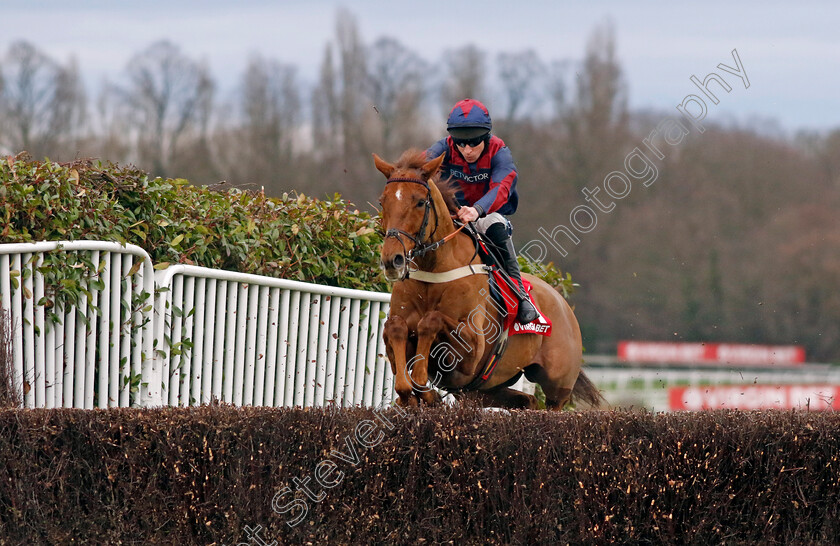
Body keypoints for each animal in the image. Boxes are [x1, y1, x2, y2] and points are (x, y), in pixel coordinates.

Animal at [374, 149, 604, 408]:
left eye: (420, 202)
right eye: (383, 201)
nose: (392, 260)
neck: (433, 273)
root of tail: (564, 305)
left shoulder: (471, 350)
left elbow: (431, 321)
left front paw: (425, 389)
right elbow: (396, 330)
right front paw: (418, 394)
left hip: (558, 388)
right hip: (485, 390)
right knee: (528, 401)